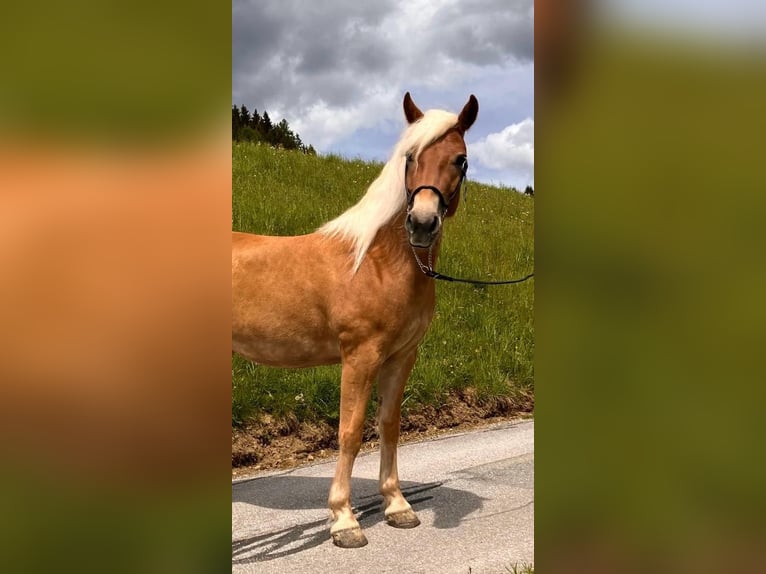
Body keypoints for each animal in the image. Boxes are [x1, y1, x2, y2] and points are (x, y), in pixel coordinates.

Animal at [231, 92, 476, 552]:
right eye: (410, 157)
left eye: (460, 159)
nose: (421, 223)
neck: (376, 262)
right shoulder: (359, 357)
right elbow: (350, 431)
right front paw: (344, 520)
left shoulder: (402, 356)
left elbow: (389, 424)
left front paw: (397, 505)